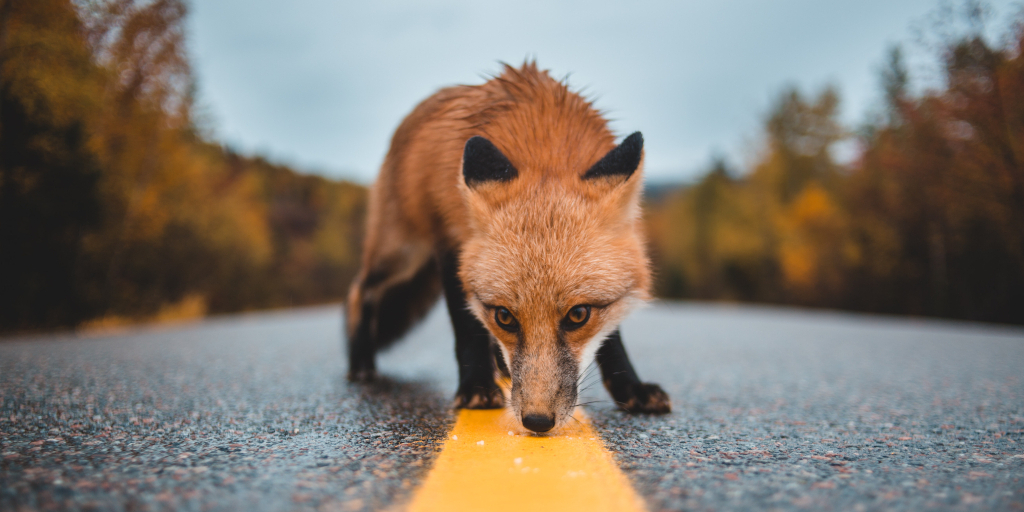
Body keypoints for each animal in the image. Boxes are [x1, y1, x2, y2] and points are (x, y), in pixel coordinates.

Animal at [345, 62, 670, 433]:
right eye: (505, 317)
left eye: (578, 315)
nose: (537, 421)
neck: (545, 143)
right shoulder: (451, 244)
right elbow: (467, 326)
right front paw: (475, 387)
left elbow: (612, 338)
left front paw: (630, 387)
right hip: (402, 252)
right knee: (360, 290)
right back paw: (360, 362)